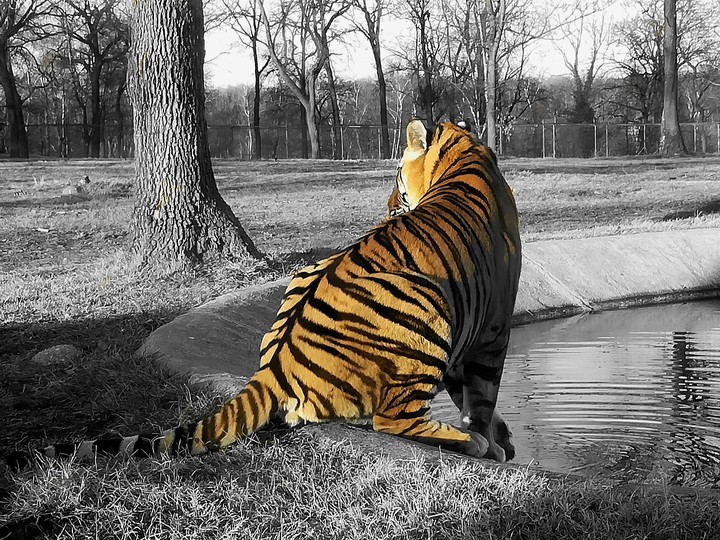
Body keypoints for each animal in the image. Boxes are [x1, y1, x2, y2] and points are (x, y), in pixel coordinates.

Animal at [8, 119, 522, 469]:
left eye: (396, 176)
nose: (391, 206)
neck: (466, 155)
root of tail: (273, 369)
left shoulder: (473, 325)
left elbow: (468, 390)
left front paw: (501, 435)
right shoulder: (492, 324)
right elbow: (481, 394)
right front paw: (490, 439)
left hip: (314, 276)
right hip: (427, 303)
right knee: (391, 420)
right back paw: (468, 444)